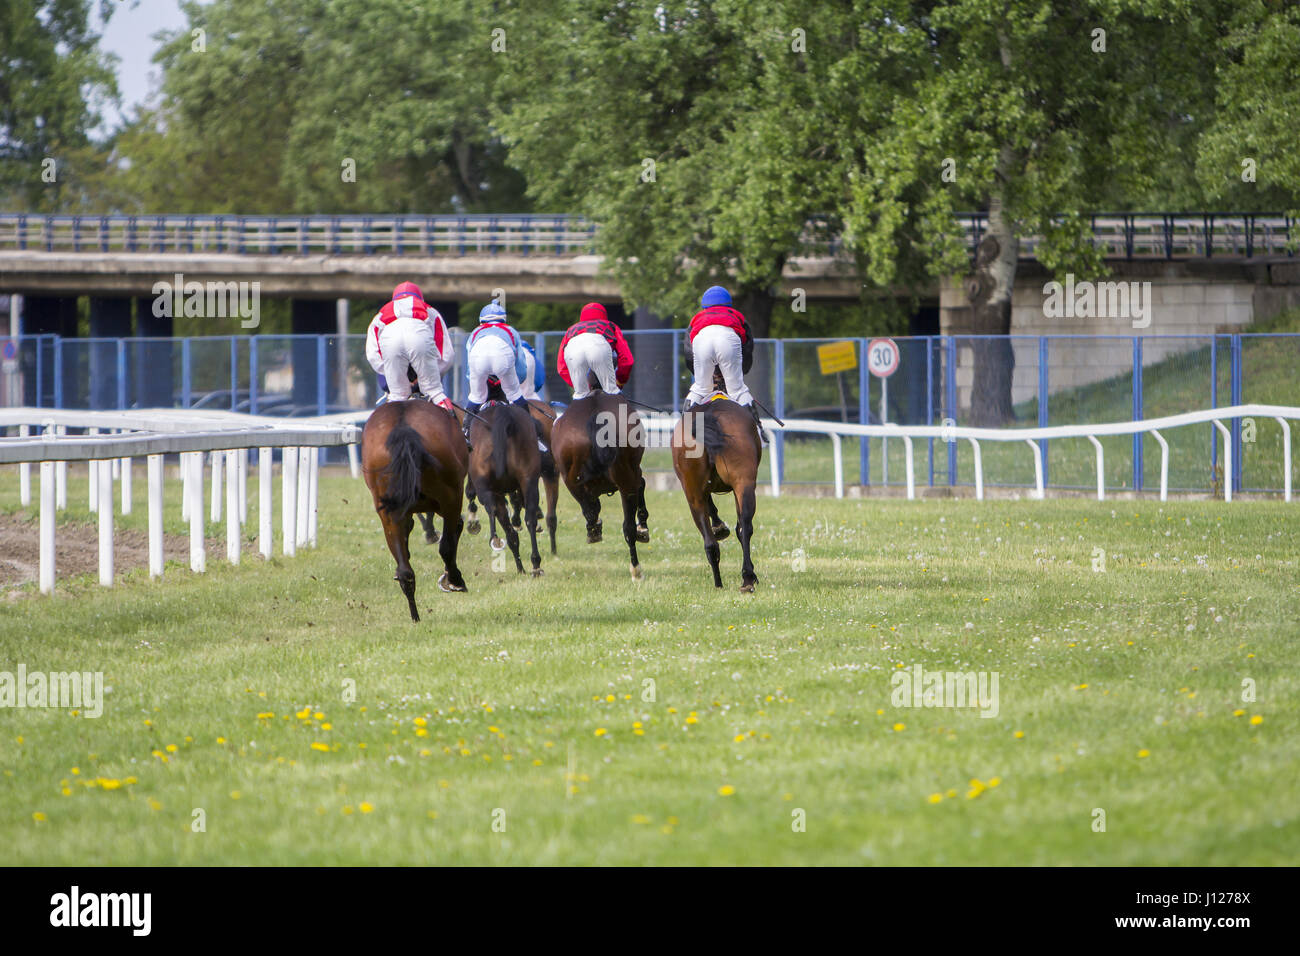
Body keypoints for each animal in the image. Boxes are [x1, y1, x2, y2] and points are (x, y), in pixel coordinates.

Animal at [361, 395, 467, 621]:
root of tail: (403, 430)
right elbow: (453, 532)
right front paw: (451, 579)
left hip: (387, 510)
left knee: (405, 571)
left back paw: (415, 615)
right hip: (451, 496)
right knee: (446, 545)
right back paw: (455, 580)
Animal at [465, 403, 540, 574]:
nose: (468, 491)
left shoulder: (495, 492)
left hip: (486, 489)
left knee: (492, 509)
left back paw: (495, 539)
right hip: (529, 480)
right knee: (530, 519)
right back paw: (536, 565)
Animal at [551, 390, 650, 582]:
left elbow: (591, 508)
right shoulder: (634, 474)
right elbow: (641, 486)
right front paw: (643, 527)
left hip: (571, 479)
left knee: (591, 510)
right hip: (625, 479)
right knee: (628, 526)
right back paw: (636, 570)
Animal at [670, 395, 759, 590]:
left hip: (693, 494)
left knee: (710, 542)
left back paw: (721, 582)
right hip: (743, 483)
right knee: (744, 527)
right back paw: (746, 577)